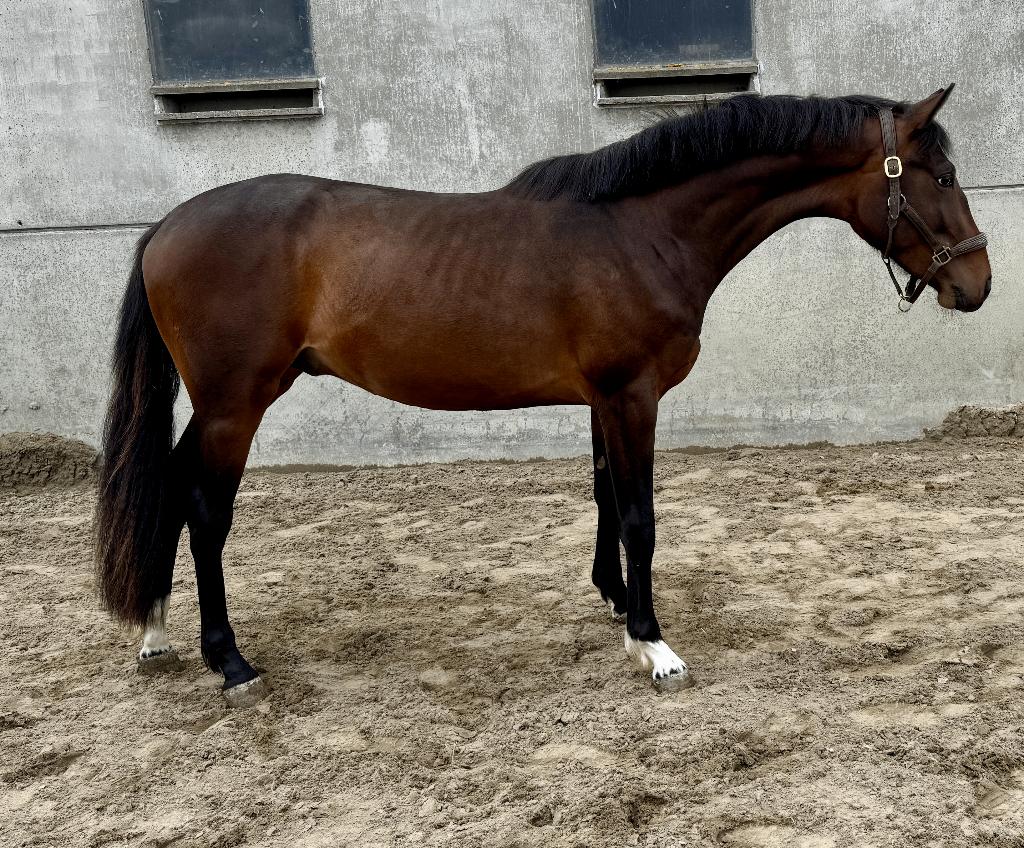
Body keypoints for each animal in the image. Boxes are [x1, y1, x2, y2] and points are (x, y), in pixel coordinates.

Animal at [95, 88, 991, 707]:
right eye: (943, 175)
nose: (977, 284)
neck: (639, 231)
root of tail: (167, 225)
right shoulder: (632, 395)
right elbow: (639, 515)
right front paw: (654, 645)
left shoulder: (603, 398)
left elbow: (603, 498)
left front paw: (615, 603)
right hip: (235, 405)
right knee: (206, 511)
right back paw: (230, 661)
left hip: (224, 405)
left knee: (170, 486)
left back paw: (156, 628)